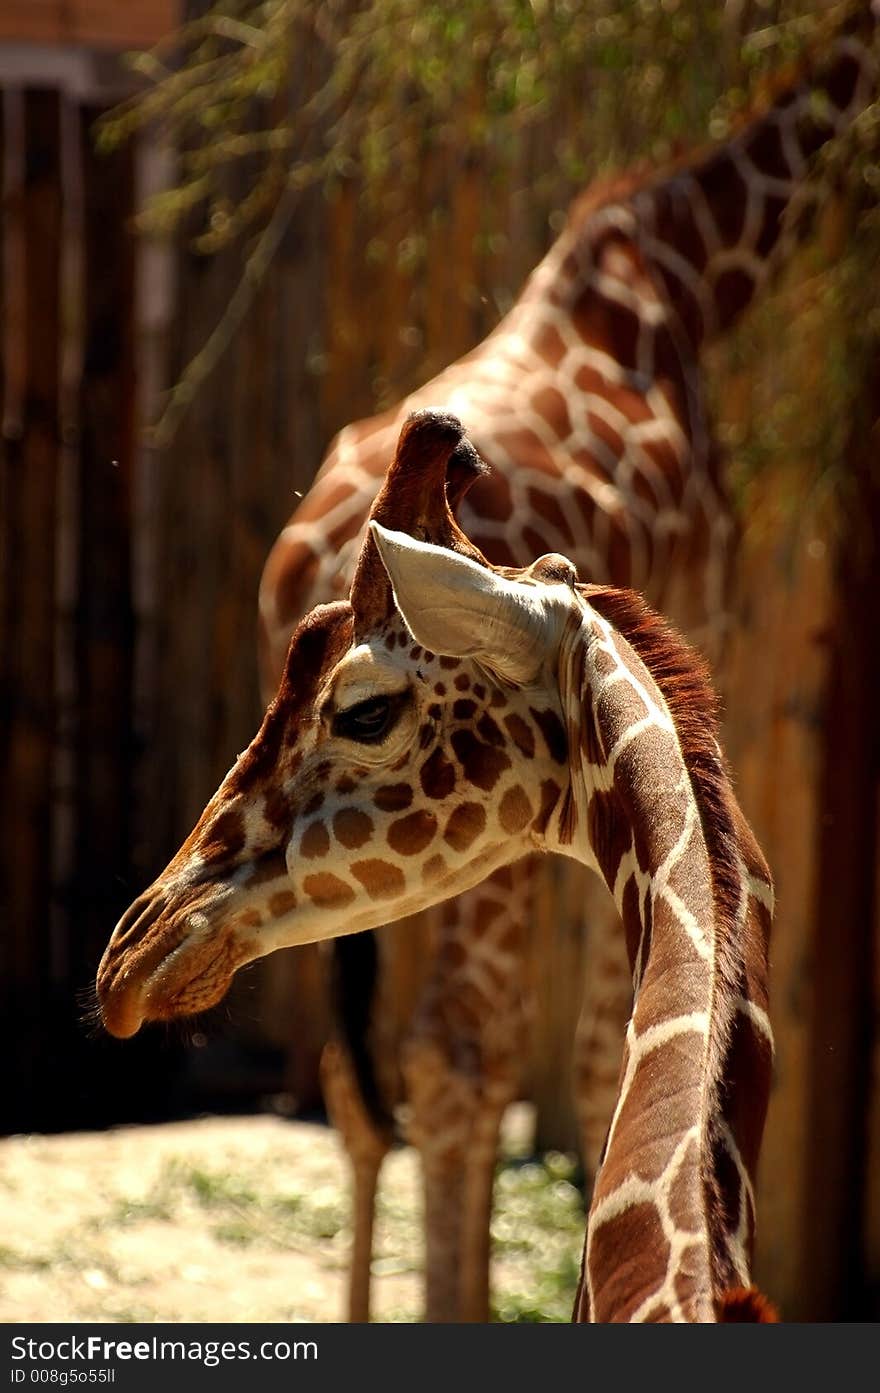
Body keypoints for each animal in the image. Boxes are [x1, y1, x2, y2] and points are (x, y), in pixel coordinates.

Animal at [250, 2, 874, 1326]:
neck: (690, 275)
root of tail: (318, 550)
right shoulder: (686, 640)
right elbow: (603, 1048)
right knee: (458, 1048)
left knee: (355, 1065)